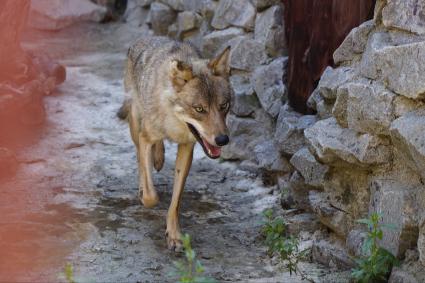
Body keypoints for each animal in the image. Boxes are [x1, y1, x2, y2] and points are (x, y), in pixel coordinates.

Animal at [117, 36, 232, 252]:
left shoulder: (187, 148)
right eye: (199, 109)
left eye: (223, 106)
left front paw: (174, 236)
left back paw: (159, 158)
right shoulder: (146, 137)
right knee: (140, 160)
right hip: (136, 125)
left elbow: (175, 202)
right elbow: (151, 196)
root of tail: (142, 39)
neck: (173, 121)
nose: (223, 140)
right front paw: (146, 195)